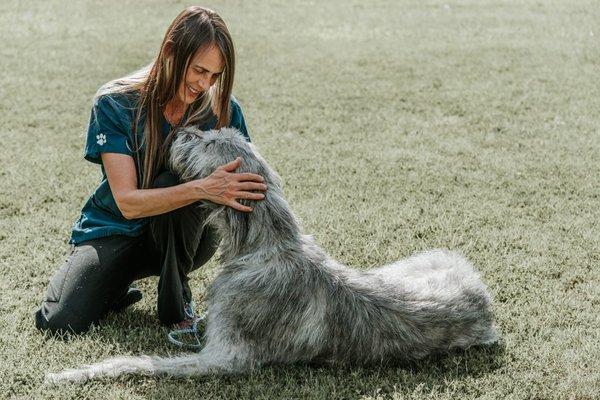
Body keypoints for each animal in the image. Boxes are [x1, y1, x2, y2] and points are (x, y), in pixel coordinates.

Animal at [45, 126, 496, 382]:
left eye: (208, 141)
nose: (182, 129)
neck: (265, 246)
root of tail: (482, 298)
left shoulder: (226, 358)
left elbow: (139, 361)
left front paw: (75, 373)